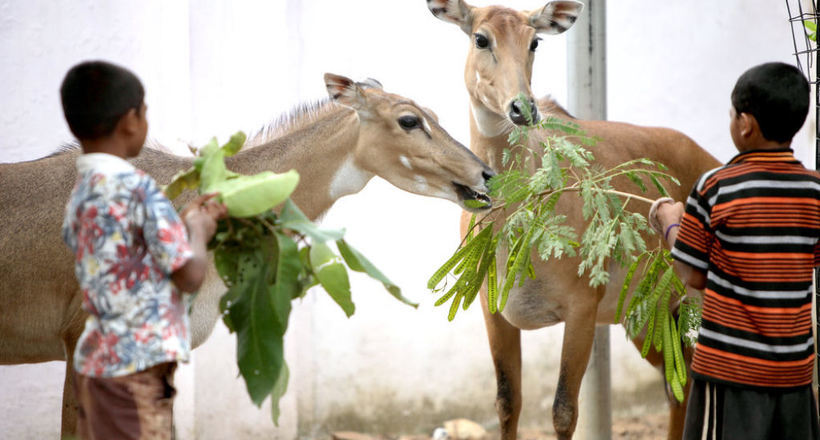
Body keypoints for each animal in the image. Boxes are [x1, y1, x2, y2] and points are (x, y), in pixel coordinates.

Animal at [426, 1, 720, 438]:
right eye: (480, 38)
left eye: (535, 41)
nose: (522, 108)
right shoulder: (493, 308)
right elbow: (507, 402)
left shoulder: (582, 308)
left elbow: (564, 410)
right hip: (646, 311)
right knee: (677, 383)